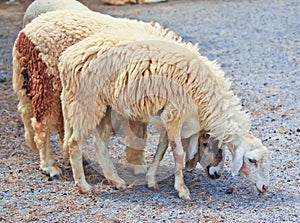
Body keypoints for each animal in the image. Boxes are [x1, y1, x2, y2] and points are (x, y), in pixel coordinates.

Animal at [12, 9, 223, 182]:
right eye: (208, 143)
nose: (216, 173)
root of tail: (24, 36)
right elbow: (139, 133)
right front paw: (138, 166)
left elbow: (139, 130)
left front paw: (135, 163)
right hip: (47, 81)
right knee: (42, 124)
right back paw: (50, 166)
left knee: (55, 121)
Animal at [59, 30, 270, 199]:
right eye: (252, 160)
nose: (265, 187)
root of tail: (67, 57)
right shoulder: (175, 114)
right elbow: (178, 154)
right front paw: (182, 190)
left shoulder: (166, 118)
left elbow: (161, 149)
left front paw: (151, 180)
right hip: (86, 103)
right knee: (74, 144)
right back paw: (84, 186)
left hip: (105, 107)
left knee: (99, 144)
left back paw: (116, 181)